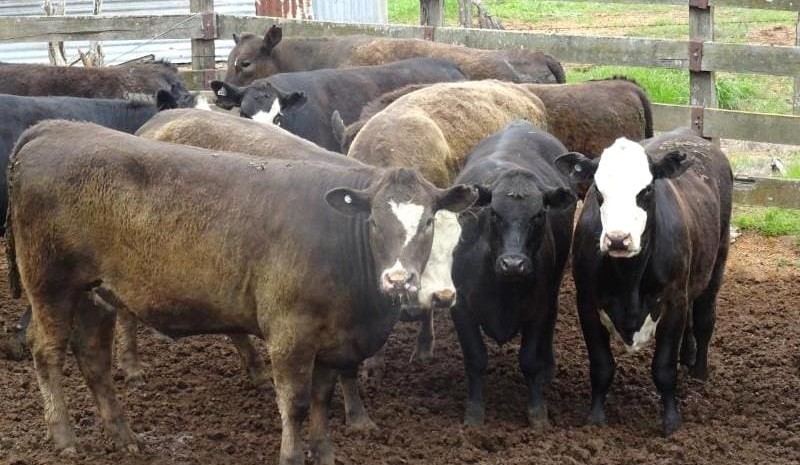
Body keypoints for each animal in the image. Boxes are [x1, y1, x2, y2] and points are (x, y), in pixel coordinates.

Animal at [7, 120, 478, 463]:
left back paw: (123, 436)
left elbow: (322, 400)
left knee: (93, 359)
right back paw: (64, 437)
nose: (399, 280)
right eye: (375, 221)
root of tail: (55, 128)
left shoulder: (333, 340)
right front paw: (293, 455)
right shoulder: (290, 335)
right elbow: (296, 404)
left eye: (429, 222)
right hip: (50, 286)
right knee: (47, 353)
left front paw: (325, 452)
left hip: (96, 294)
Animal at [448, 120, 577, 427]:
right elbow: (476, 359)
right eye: (494, 213)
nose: (513, 264)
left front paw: (537, 413)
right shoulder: (461, 307)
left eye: (538, 215)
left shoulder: (538, 308)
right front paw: (474, 413)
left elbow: (529, 360)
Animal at [554, 127, 732, 436]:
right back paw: (687, 355)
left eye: (646, 190)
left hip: (716, 264)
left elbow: (663, 367)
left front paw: (671, 421)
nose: (618, 239)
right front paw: (596, 416)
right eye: (598, 191)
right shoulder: (586, 301)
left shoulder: (673, 301)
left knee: (704, 319)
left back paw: (699, 371)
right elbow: (601, 365)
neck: (630, 279)